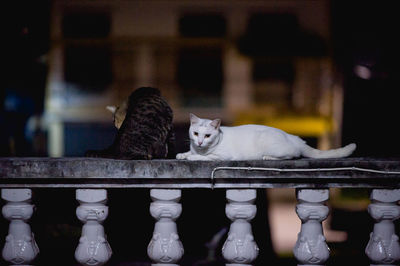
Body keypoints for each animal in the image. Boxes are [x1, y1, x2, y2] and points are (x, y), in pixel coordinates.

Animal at [176, 112, 356, 160]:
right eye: (196, 134)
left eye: (207, 136)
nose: (200, 142)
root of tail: (293, 137)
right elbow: (190, 152)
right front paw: (183, 154)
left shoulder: (221, 156)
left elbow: (202, 157)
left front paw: (191, 157)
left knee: (293, 155)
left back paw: (268, 157)